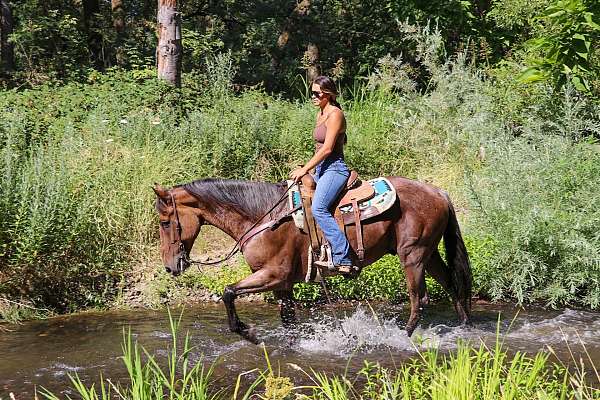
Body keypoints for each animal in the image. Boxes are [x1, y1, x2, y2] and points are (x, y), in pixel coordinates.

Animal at [152, 177, 472, 342]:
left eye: (165, 222)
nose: (170, 266)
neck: (263, 219)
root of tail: (439, 192)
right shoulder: (283, 285)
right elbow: (288, 319)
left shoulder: (274, 275)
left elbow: (228, 292)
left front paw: (248, 333)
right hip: (429, 253)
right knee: (452, 285)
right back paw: (465, 327)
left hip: (413, 254)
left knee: (419, 297)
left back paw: (401, 336)